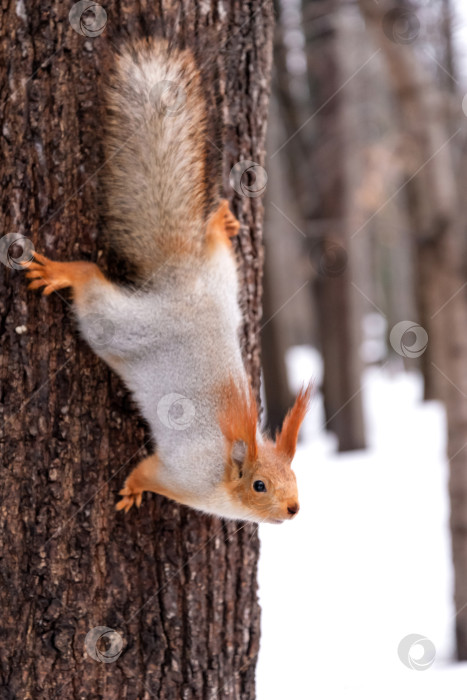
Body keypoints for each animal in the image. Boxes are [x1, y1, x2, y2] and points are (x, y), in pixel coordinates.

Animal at [20, 37, 310, 520]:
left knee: (215, 251)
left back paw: (219, 226)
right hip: (120, 327)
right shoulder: (182, 475)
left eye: (296, 475)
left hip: (222, 281)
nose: (293, 508)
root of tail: (182, 280)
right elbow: (147, 471)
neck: (222, 474)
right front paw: (133, 489)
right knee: (91, 284)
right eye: (260, 485)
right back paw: (63, 272)